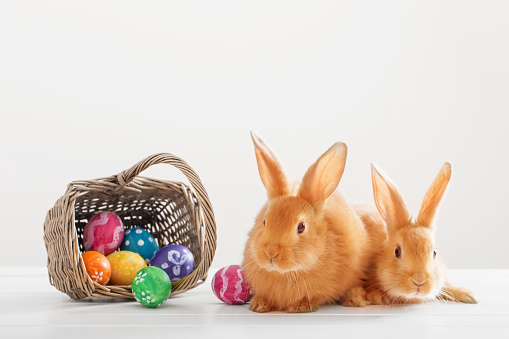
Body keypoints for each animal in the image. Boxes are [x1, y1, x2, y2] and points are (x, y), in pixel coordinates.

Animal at [240, 131, 372, 312]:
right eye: (264, 221)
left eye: (301, 227)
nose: (271, 254)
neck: (287, 273)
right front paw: (259, 304)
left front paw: (299, 306)